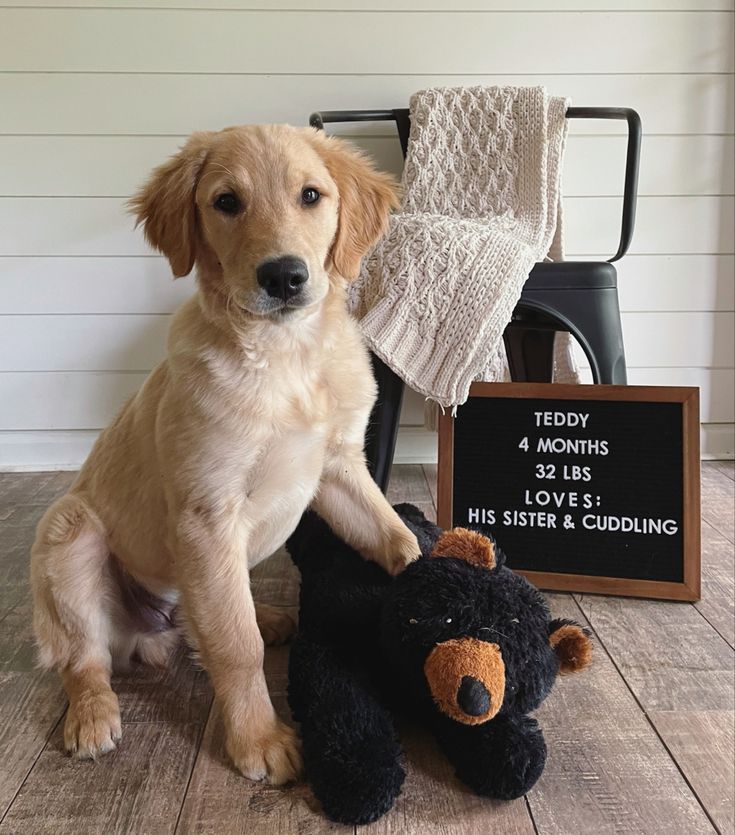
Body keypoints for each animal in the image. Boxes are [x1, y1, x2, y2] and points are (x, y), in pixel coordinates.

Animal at [30, 124, 420, 784]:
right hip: (68, 534)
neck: (288, 356)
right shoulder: (207, 515)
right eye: (226, 203)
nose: (283, 276)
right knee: (84, 658)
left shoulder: (338, 467)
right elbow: (237, 647)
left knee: (207, 614)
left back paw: (267, 614)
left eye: (311, 195)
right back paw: (91, 717)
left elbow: (393, 533)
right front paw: (258, 739)